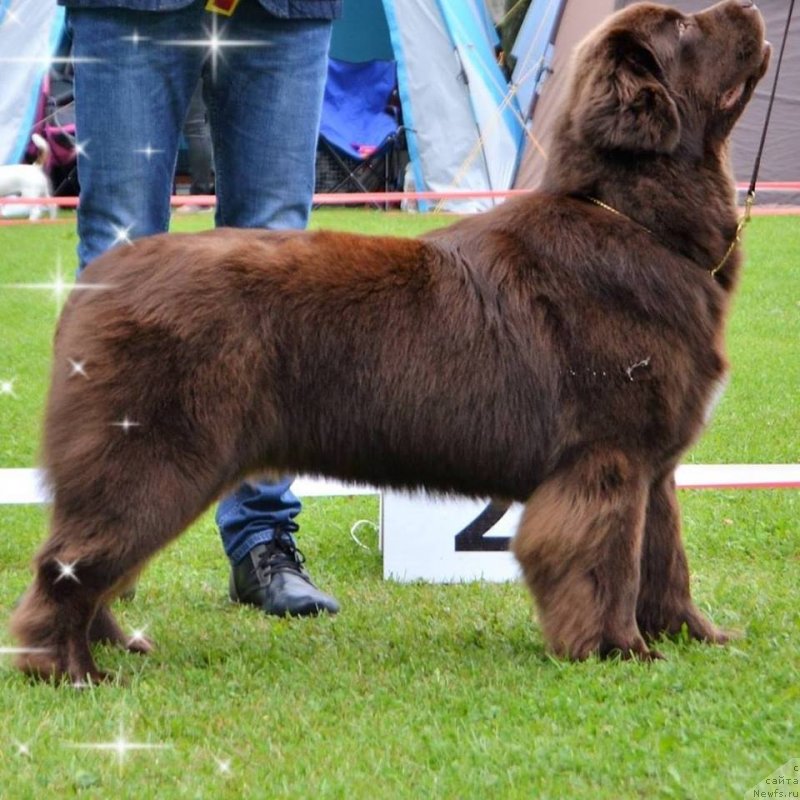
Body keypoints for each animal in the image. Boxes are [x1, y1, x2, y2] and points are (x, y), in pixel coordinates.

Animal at [12, 0, 772, 680]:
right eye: (682, 27)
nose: (751, 7)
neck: (635, 219)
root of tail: (100, 279)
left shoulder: (655, 467)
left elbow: (664, 560)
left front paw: (696, 637)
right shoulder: (606, 458)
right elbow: (608, 563)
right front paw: (619, 651)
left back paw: (115, 645)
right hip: (152, 459)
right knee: (68, 563)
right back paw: (70, 669)